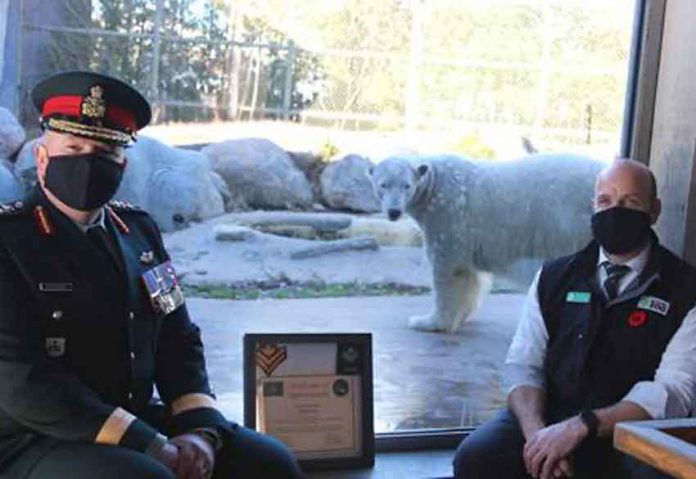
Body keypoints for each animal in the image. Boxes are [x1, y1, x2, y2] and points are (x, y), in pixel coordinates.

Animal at [370, 154, 604, 334]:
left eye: (406, 186)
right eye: (383, 184)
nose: (394, 212)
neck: (434, 185)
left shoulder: (447, 215)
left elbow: (448, 271)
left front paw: (427, 322)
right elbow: (470, 276)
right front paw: (463, 314)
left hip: (576, 224)